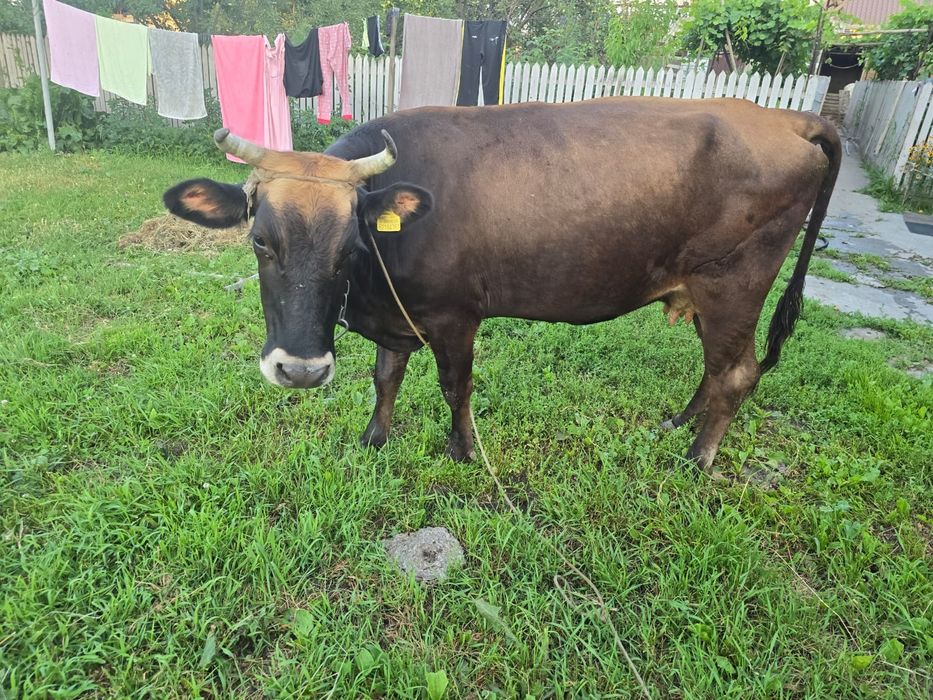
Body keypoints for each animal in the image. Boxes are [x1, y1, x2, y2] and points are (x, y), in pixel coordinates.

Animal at [163, 97, 840, 471]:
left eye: (350, 246)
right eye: (260, 240)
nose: (300, 371)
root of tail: (784, 119)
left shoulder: (455, 315)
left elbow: (455, 386)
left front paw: (463, 451)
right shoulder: (398, 316)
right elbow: (386, 377)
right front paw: (374, 438)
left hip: (735, 283)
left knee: (737, 373)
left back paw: (698, 459)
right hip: (704, 291)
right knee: (716, 368)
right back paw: (678, 423)